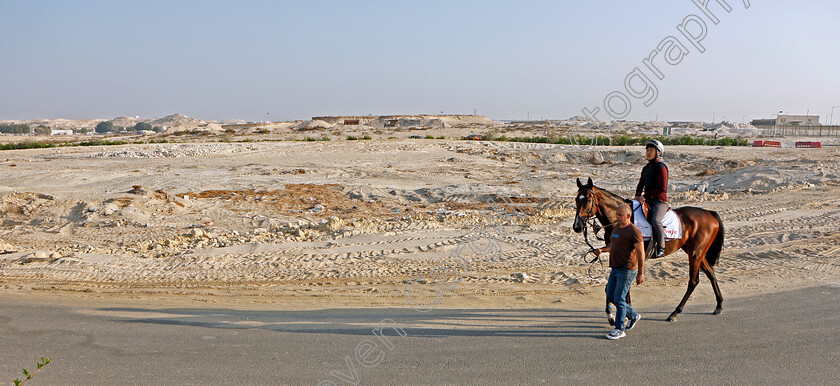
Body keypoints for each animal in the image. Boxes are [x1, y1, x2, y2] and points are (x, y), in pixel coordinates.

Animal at [576, 178, 724, 322]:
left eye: (588, 200)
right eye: (576, 199)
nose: (577, 226)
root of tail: (709, 214)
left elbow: (621, 286)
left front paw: (617, 314)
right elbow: (612, 286)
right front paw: (619, 313)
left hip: (695, 253)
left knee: (693, 281)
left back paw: (675, 313)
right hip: (695, 251)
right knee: (711, 273)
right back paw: (719, 305)